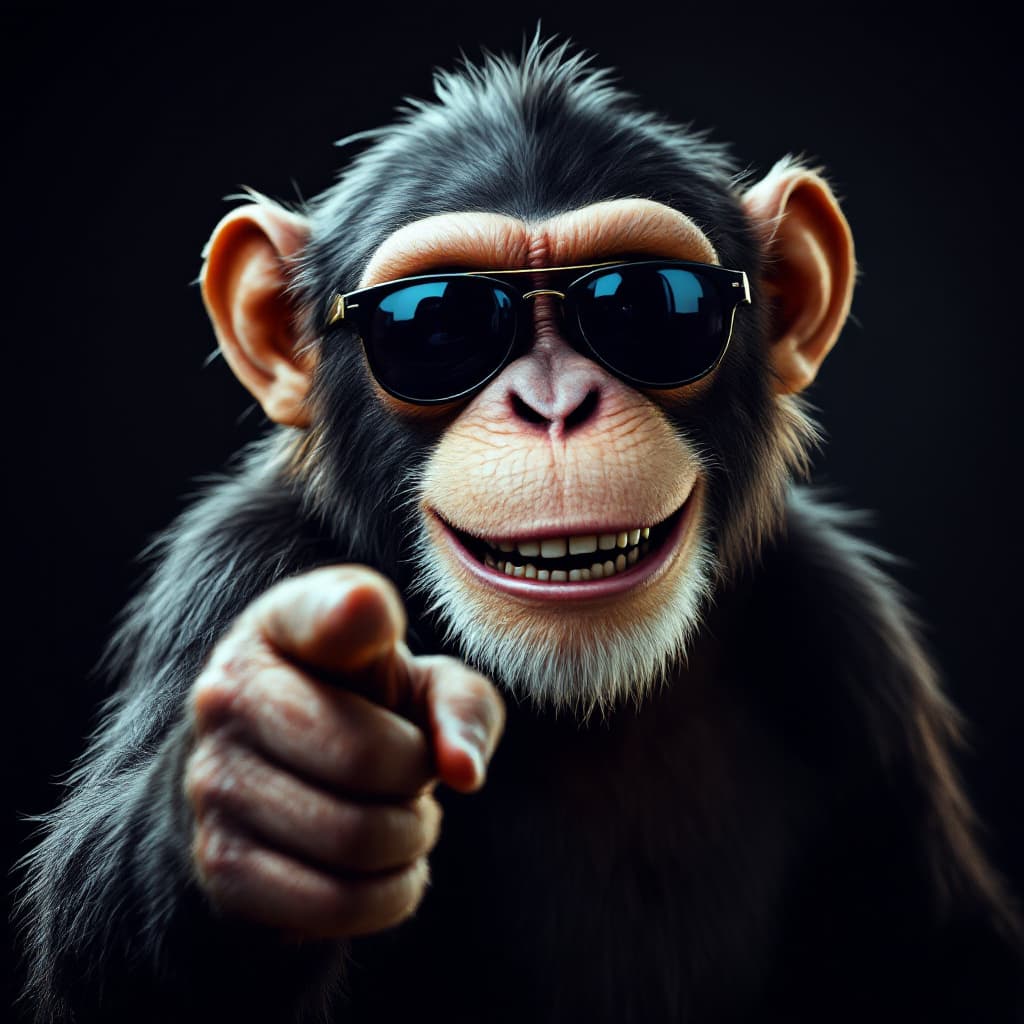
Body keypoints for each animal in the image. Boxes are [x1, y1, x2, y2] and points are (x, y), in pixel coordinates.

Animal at [13, 37, 1024, 1024]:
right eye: (436, 320)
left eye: (648, 302)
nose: (554, 404)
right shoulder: (237, 566)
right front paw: (266, 782)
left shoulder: (847, 630)